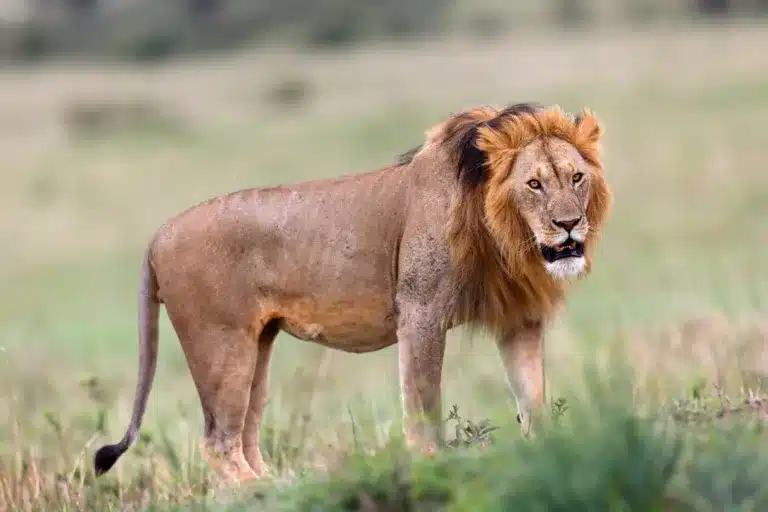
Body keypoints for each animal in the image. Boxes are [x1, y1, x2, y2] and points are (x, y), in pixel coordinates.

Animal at [93, 102, 612, 483]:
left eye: (576, 177)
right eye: (533, 184)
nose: (568, 225)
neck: (504, 234)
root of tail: (158, 235)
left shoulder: (517, 318)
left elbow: (532, 399)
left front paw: (545, 452)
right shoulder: (420, 312)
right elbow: (423, 406)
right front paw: (432, 465)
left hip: (257, 345)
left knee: (244, 436)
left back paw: (281, 484)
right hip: (219, 344)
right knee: (219, 444)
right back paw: (262, 492)